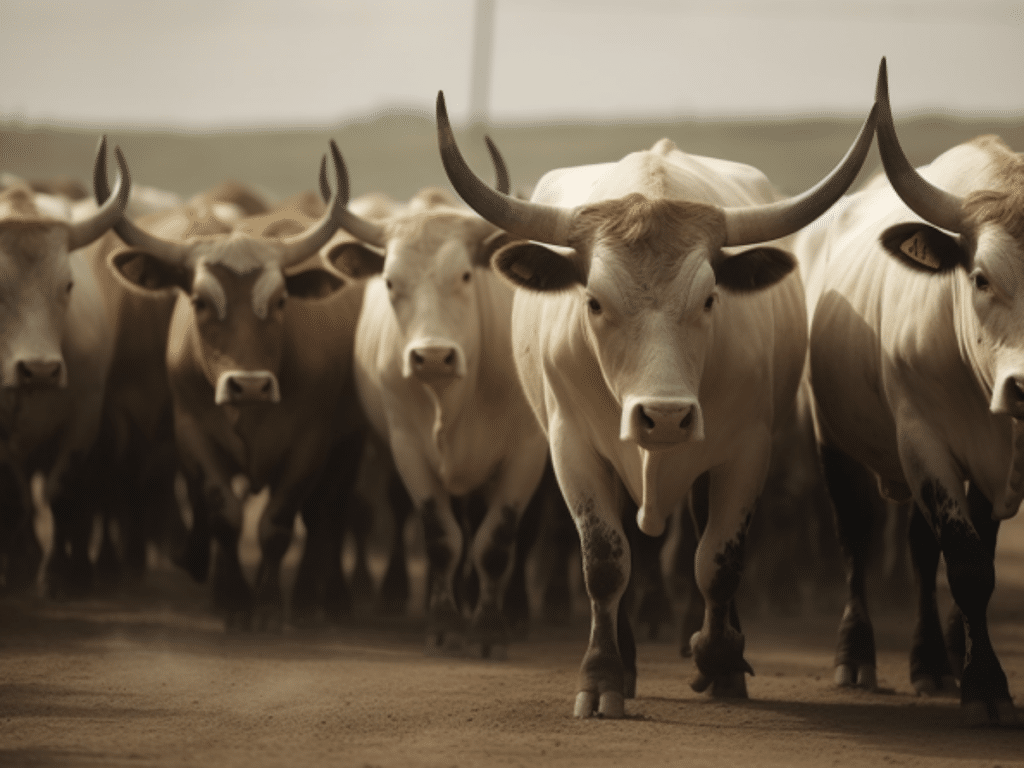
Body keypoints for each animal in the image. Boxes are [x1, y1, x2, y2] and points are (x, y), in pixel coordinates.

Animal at [0, 139, 130, 595]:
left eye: (68, 284)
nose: (39, 370)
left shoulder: (84, 418)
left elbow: (59, 491)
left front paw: (57, 573)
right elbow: (15, 496)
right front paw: (18, 570)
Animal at [94, 141, 368, 630]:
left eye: (280, 301)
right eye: (201, 302)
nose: (249, 386)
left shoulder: (310, 444)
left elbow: (278, 524)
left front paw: (268, 603)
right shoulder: (193, 435)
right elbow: (224, 514)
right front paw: (235, 600)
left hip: (348, 442)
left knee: (328, 514)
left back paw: (320, 599)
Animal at [321, 138, 549, 657]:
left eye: (464, 275)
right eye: (389, 282)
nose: (432, 357)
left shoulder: (527, 452)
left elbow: (496, 542)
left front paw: (488, 628)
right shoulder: (408, 448)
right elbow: (443, 537)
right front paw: (444, 622)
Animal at [437, 88, 877, 716]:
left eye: (711, 298)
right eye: (593, 301)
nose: (664, 416)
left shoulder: (747, 449)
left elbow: (717, 560)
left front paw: (720, 661)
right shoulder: (572, 446)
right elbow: (605, 561)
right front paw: (602, 677)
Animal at [794, 60, 1019, 725]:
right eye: (980, 278)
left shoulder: (997, 465)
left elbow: (972, 555)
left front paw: (970, 670)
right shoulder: (924, 437)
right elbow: (967, 564)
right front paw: (986, 687)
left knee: (921, 550)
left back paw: (933, 662)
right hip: (837, 441)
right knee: (858, 536)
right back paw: (857, 657)